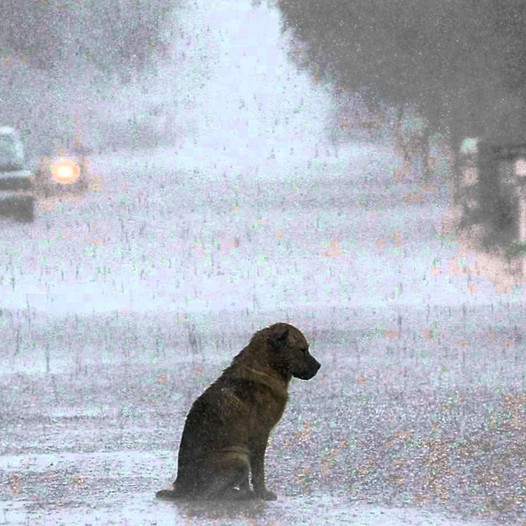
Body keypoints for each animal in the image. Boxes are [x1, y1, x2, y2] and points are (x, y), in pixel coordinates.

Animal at [157, 324, 322, 502]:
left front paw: (251, 491)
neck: (264, 369)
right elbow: (258, 471)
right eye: (302, 350)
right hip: (238, 458)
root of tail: (181, 488)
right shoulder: (259, 436)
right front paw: (262, 493)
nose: (319, 366)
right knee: (208, 495)